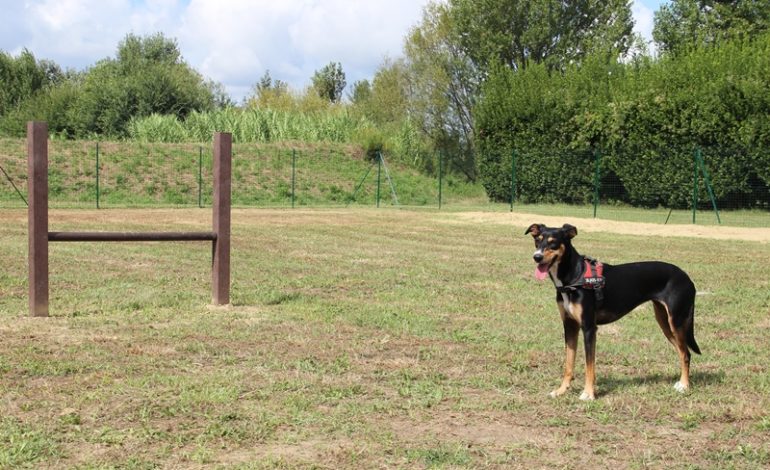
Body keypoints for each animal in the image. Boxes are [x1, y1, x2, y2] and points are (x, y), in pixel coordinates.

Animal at [524, 222, 700, 398]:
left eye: (553, 243)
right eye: (537, 240)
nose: (537, 257)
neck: (574, 277)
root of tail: (686, 277)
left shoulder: (589, 328)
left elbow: (589, 365)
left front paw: (588, 393)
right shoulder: (569, 325)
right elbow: (568, 364)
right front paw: (561, 390)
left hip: (676, 321)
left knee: (686, 353)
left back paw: (684, 385)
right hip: (665, 322)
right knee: (682, 351)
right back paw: (680, 382)